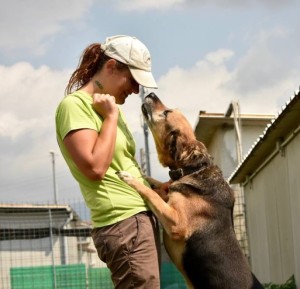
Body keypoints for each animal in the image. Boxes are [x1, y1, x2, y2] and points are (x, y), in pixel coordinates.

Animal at [116, 93, 264, 286]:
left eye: (166, 113)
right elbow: (156, 185)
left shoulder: (176, 223)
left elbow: (150, 193)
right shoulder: (168, 193)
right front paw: (142, 174)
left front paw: (131, 178)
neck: (194, 169)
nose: (150, 94)